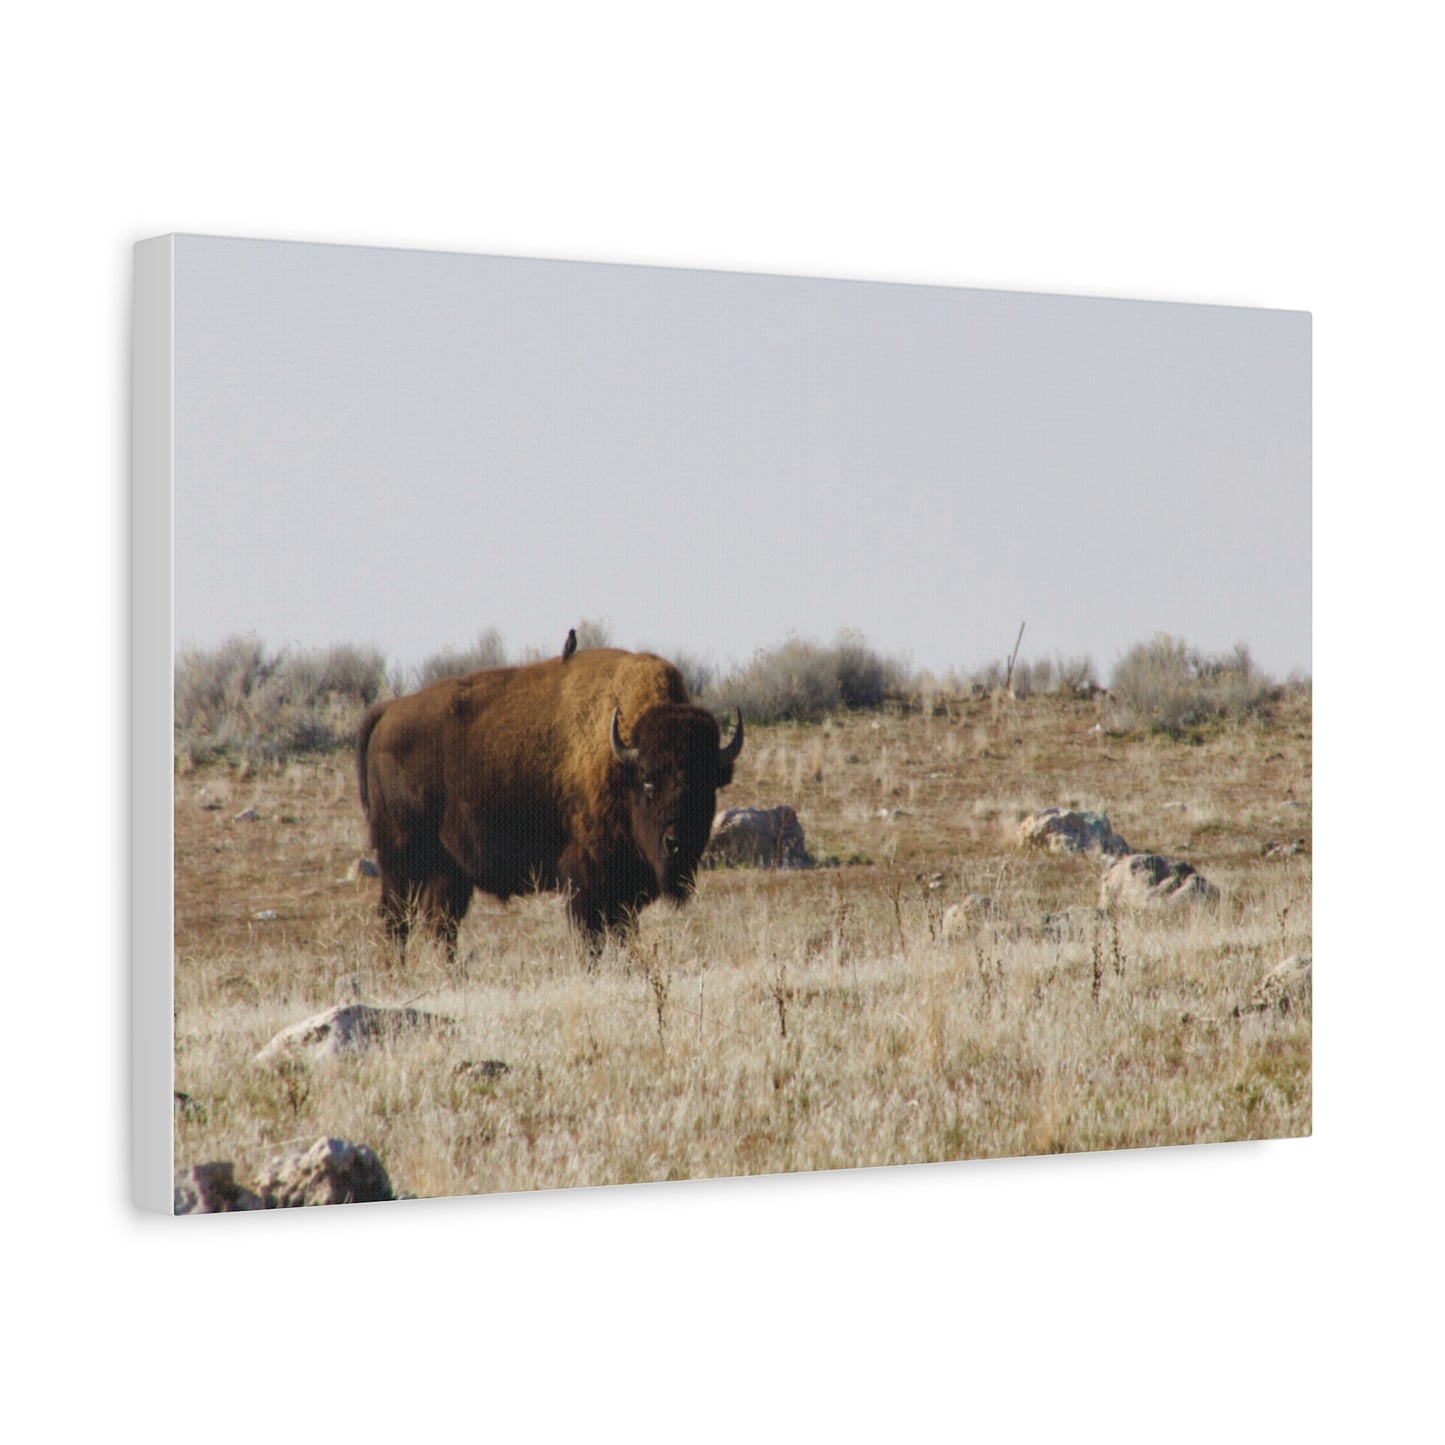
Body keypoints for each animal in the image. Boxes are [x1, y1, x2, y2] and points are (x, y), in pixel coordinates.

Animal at [356, 648, 742, 954]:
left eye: (707, 785)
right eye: (648, 781)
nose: (678, 842)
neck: (620, 761)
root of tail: (388, 712)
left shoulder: (625, 891)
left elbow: (621, 933)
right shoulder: (586, 878)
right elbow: (592, 937)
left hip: (447, 869)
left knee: (440, 925)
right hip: (400, 860)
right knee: (397, 920)